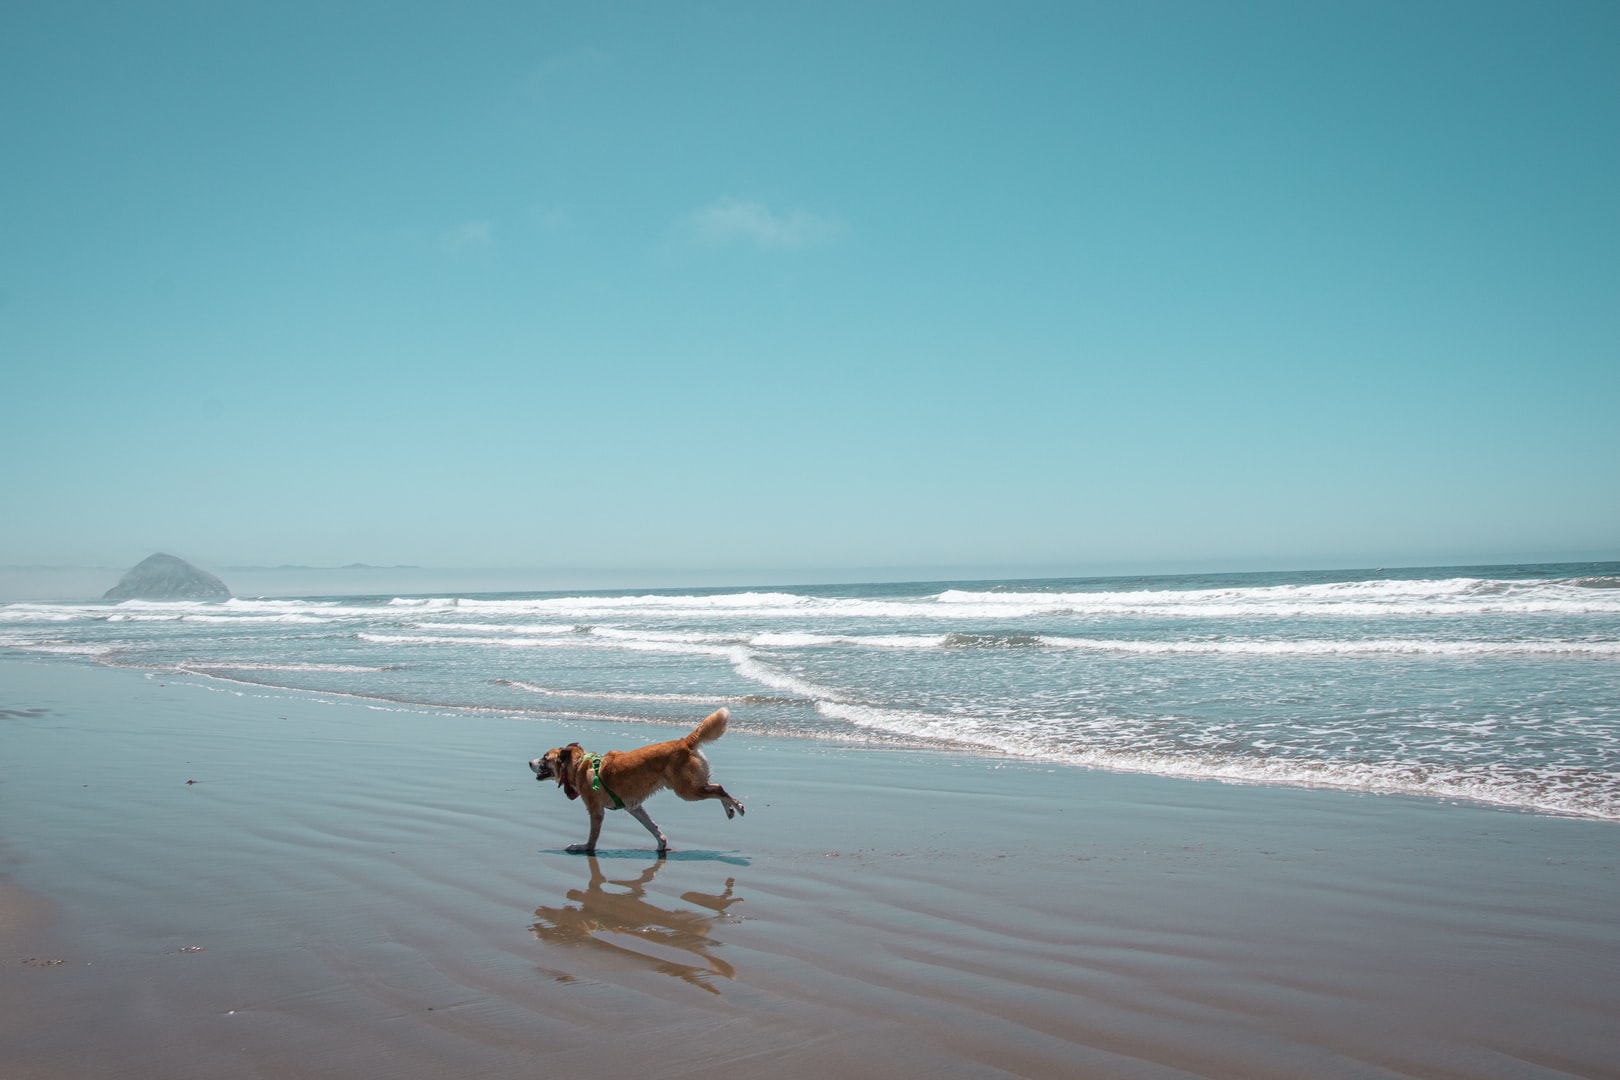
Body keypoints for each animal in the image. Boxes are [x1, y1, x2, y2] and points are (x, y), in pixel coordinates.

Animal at [531, 705, 745, 854]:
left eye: (544, 758)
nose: (529, 763)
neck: (579, 765)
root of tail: (684, 742)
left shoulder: (596, 811)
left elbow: (593, 835)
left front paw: (585, 847)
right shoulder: (633, 807)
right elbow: (652, 827)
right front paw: (661, 844)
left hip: (687, 790)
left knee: (719, 789)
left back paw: (737, 806)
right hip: (691, 786)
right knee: (716, 787)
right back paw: (730, 809)